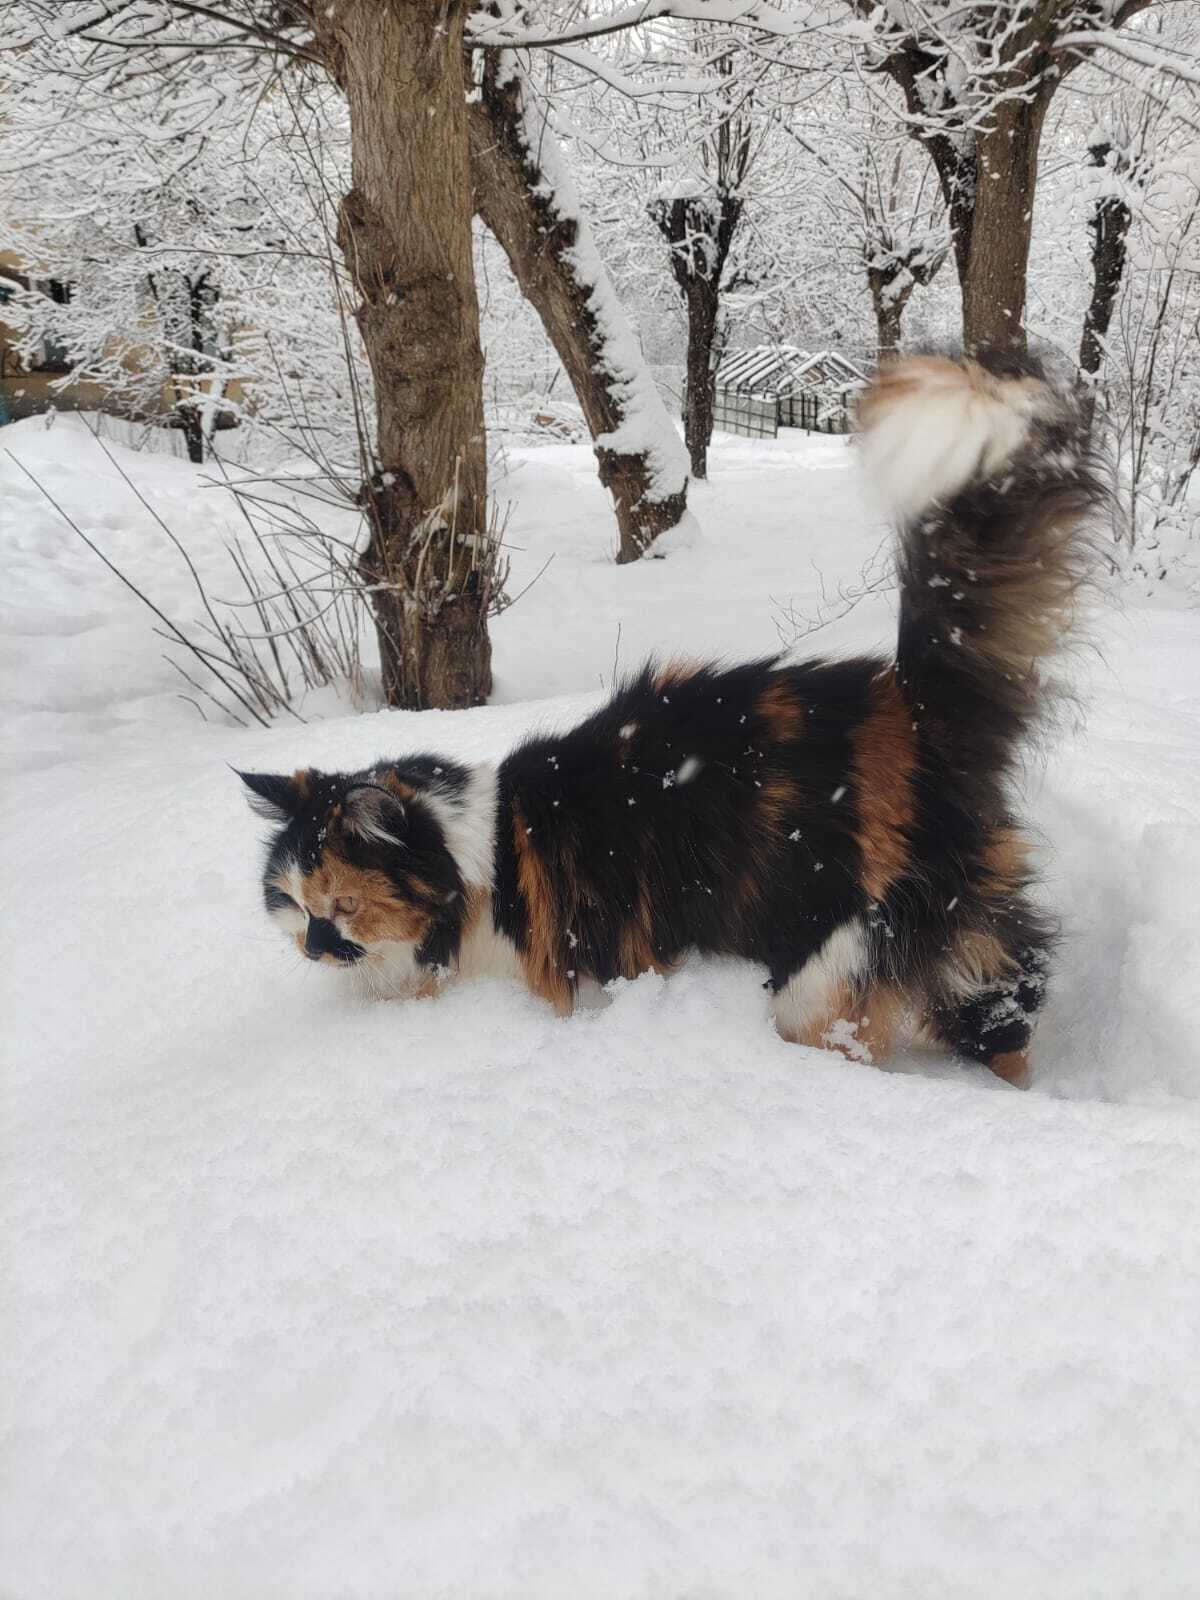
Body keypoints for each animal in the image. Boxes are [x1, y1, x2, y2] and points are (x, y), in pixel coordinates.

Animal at [240, 353, 1107, 1088]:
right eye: (297, 904)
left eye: (343, 905)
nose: (315, 949)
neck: (471, 859)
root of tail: (911, 708)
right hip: (973, 952)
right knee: (1006, 1022)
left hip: (829, 968)